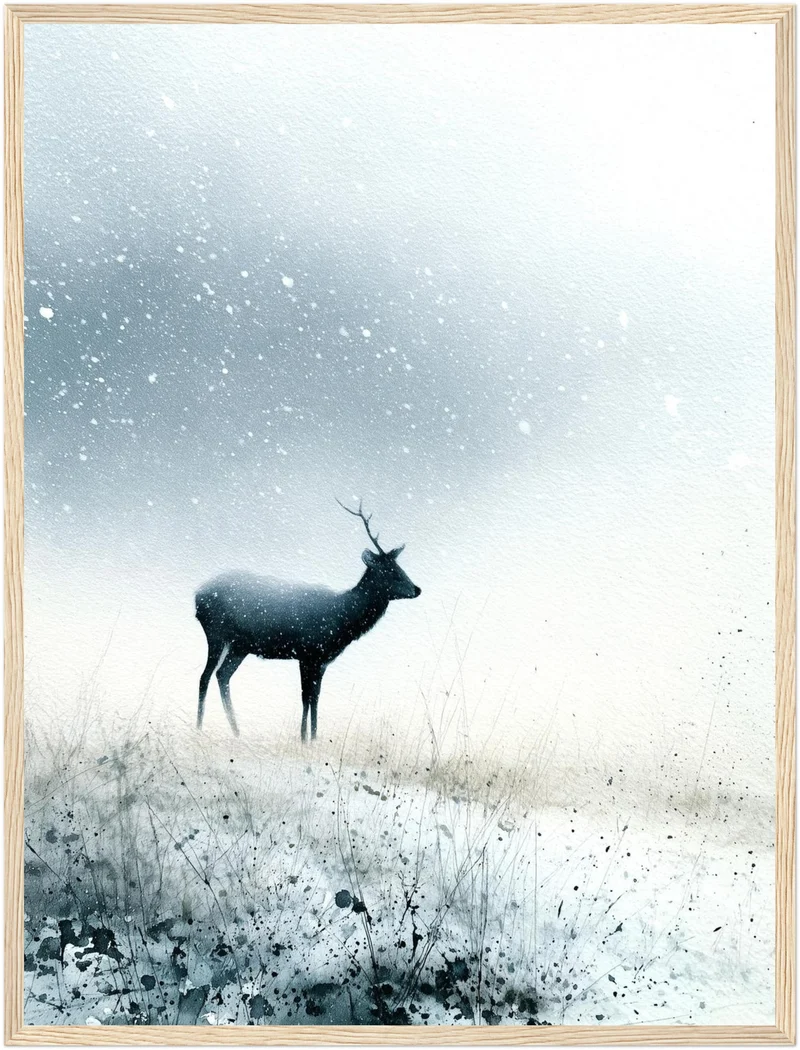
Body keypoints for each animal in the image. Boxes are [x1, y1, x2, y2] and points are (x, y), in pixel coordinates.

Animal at [194, 500, 421, 742]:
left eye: (400, 568)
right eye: (390, 572)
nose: (417, 589)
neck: (341, 621)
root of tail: (197, 597)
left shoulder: (321, 660)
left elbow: (316, 697)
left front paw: (313, 738)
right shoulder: (307, 652)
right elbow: (305, 697)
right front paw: (303, 739)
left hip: (240, 646)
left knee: (222, 675)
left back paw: (236, 732)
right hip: (215, 633)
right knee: (205, 676)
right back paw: (199, 728)